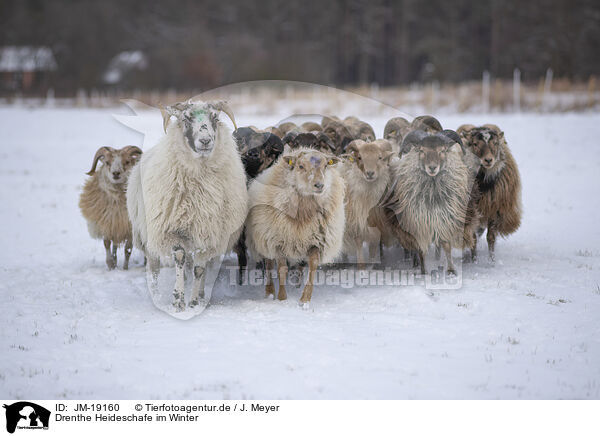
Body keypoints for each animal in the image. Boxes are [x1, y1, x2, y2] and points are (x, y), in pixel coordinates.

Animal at [126, 99, 248, 310]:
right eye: (186, 118)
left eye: (215, 117)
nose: (206, 141)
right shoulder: (173, 230)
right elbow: (180, 259)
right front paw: (178, 300)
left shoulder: (209, 234)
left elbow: (199, 269)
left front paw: (193, 301)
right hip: (146, 235)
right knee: (154, 268)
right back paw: (156, 295)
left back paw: (200, 294)